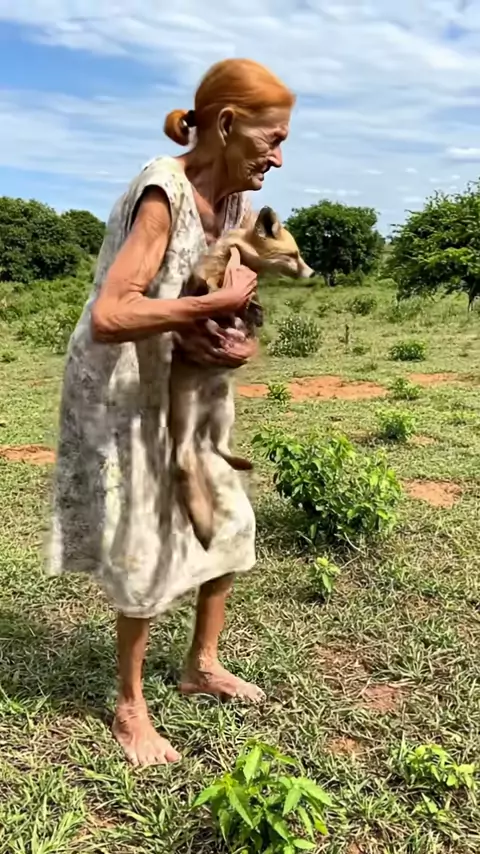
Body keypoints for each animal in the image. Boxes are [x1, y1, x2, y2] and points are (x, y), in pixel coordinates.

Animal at [170, 206, 314, 550]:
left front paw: (252, 313)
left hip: (224, 409)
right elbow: (207, 284)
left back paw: (241, 464)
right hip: (184, 415)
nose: (312, 272)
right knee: (182, 460)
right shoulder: (209, 270)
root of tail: (202, 417)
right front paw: (216, 296)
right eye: (294, 255)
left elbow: (251, 305)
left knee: (218, 448)